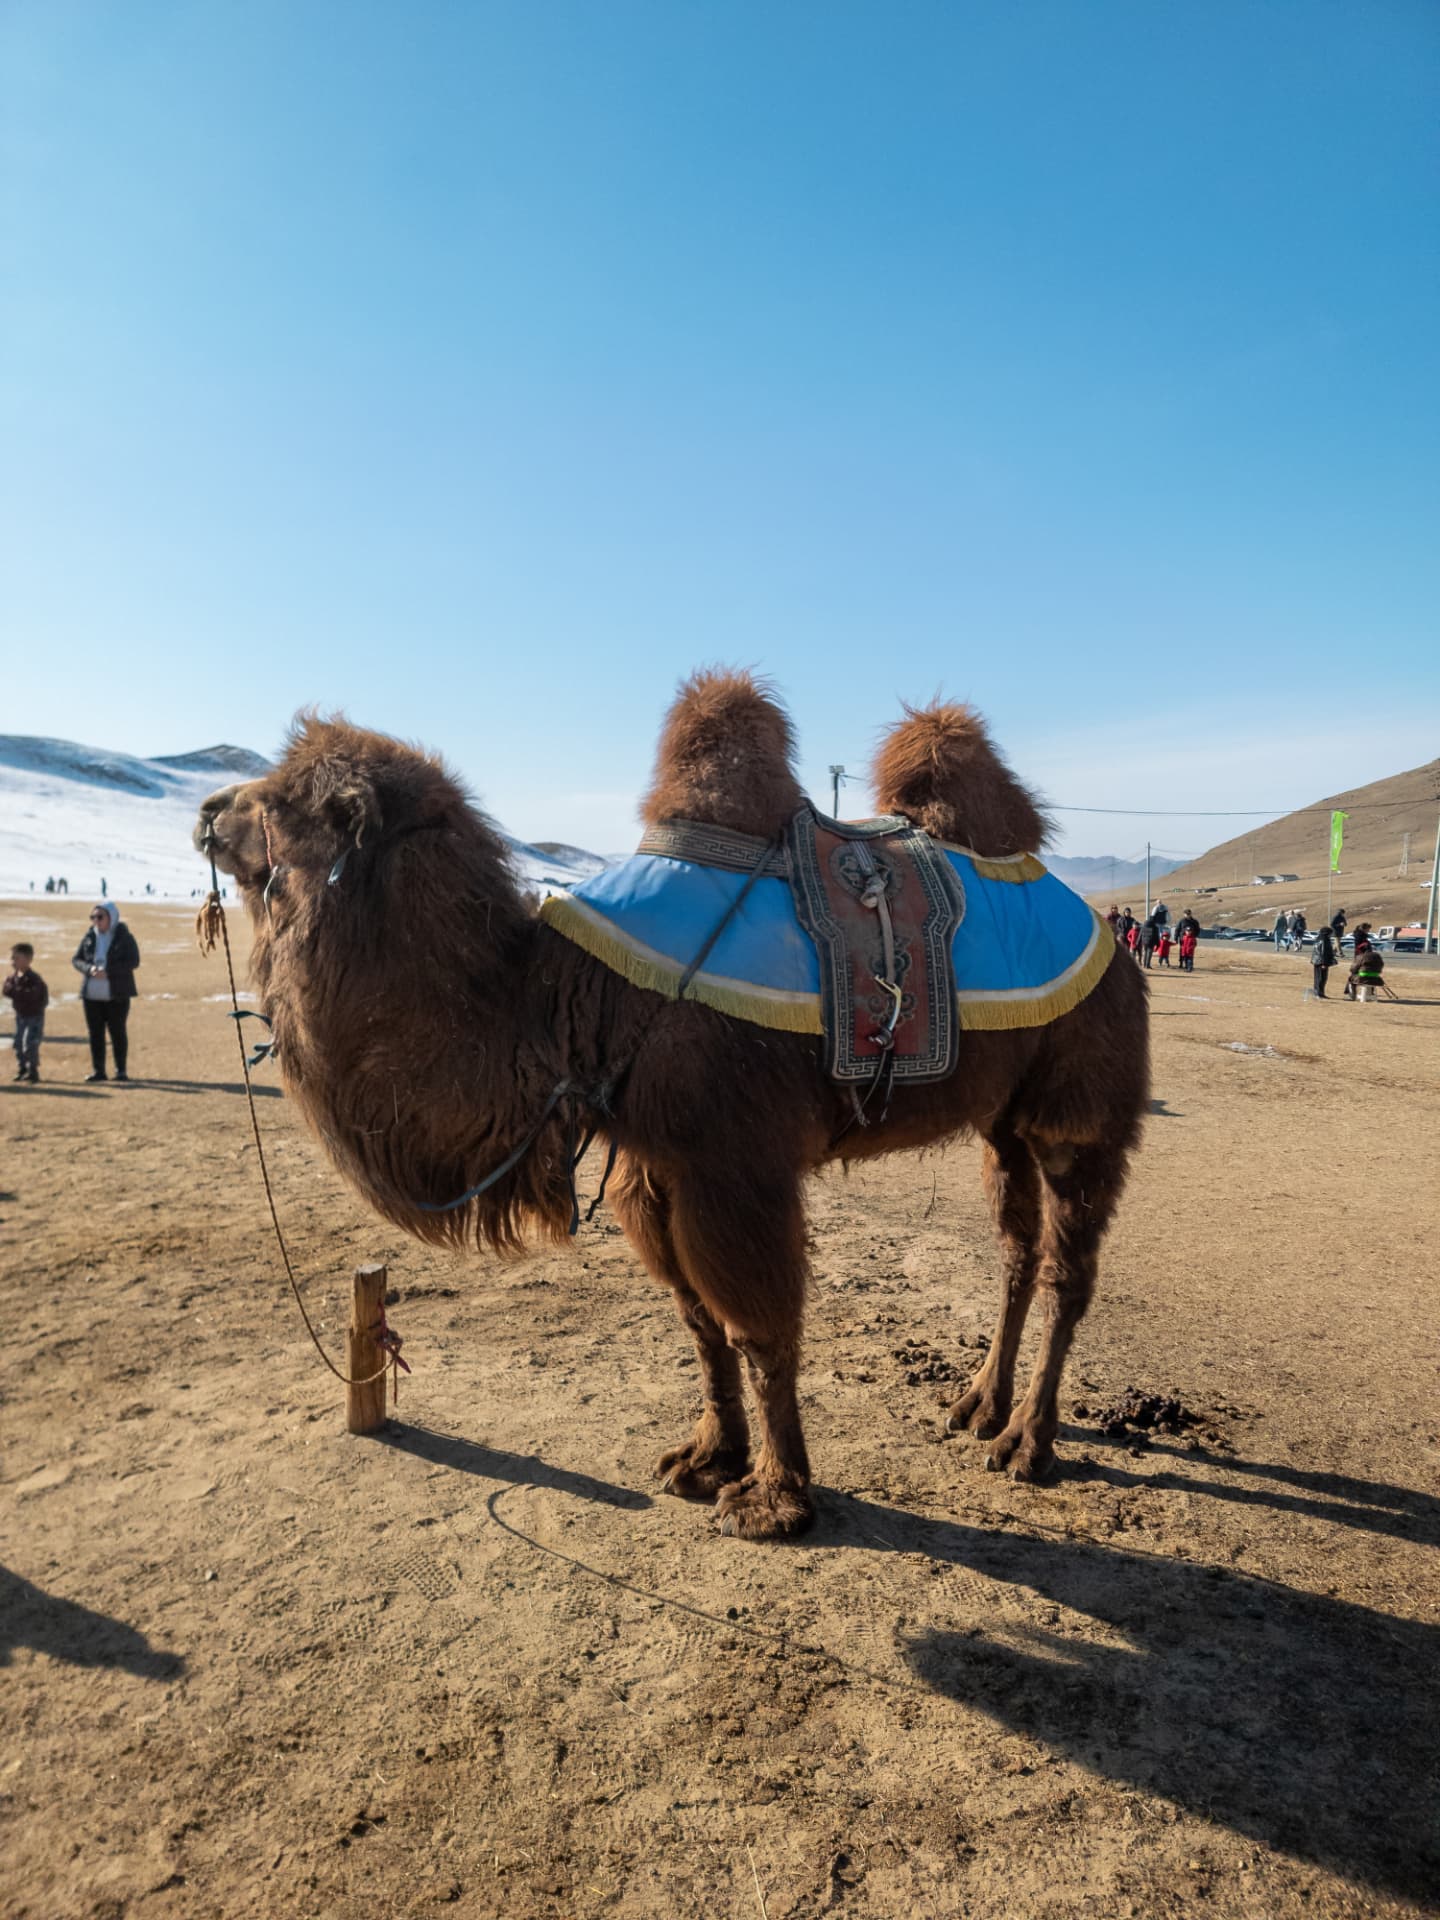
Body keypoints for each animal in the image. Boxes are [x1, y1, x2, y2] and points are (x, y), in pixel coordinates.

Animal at [194, 672, 1148, 1540]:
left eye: (283, 799)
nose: (207, 808)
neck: (562, 1003)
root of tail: (1106, 932)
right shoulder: (655, 1165)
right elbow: (699, 1322)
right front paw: (707, 1457)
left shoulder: (733, 1163)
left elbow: (759, 1327)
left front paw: (776, 1499)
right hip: (1002, 1120)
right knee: (1017, 1250)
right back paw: (979, 1404)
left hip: (1083, 1103)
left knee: (1069, 1269)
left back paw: (1028, 1442)